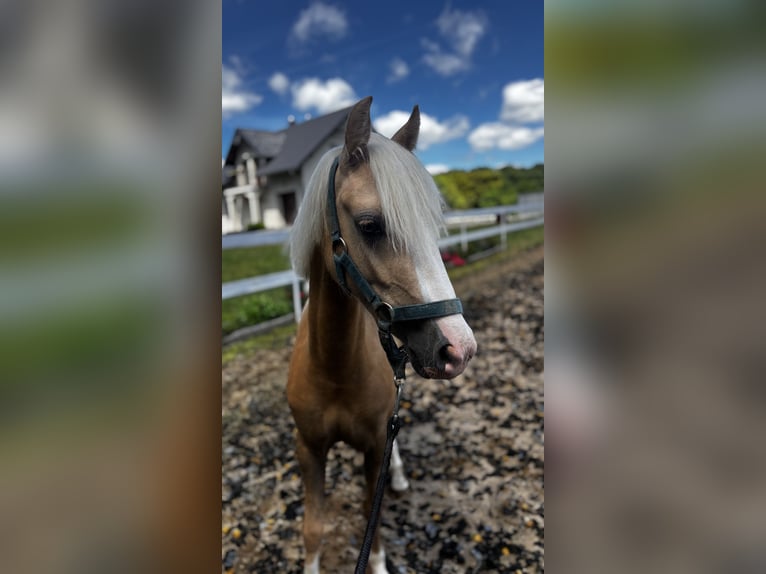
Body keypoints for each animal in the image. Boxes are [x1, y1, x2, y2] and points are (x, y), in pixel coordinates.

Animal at [287, 96, 477, 574]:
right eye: (371, 225)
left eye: (433, 227)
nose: (460, 348)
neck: (333, 368)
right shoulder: (308, 449)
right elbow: (313, 528)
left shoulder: (374, 446)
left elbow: (371, 522)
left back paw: (401, 473)